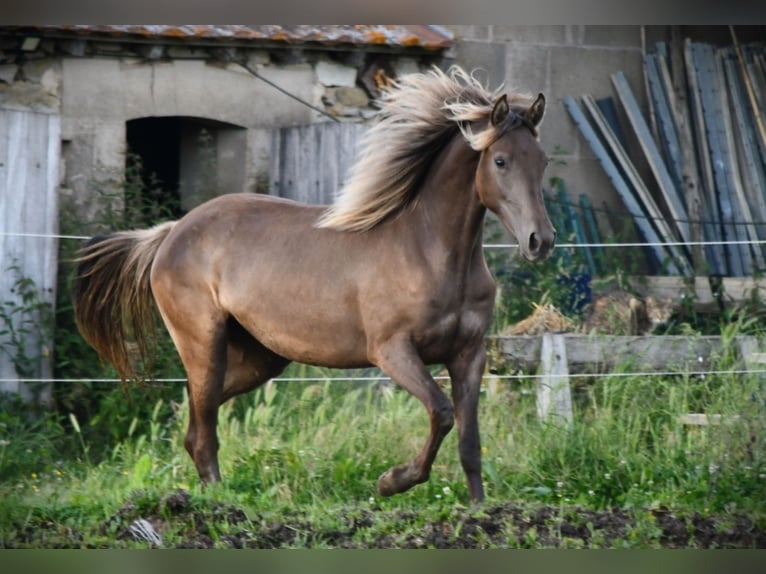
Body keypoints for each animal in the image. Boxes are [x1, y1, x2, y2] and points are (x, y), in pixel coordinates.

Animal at [74, 66, 555, 502]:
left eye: (543, 160)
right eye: (500, 161)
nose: (541, 240)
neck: (431, 252)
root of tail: (171, 232)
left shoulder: (469, 355)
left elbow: (469, 441)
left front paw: (477, 509)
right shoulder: (392, 352)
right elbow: (440, 413)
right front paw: (391, 482)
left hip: (261, 357)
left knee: (195, 418)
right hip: (203, 344)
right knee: (203, 426)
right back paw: (218, 503)